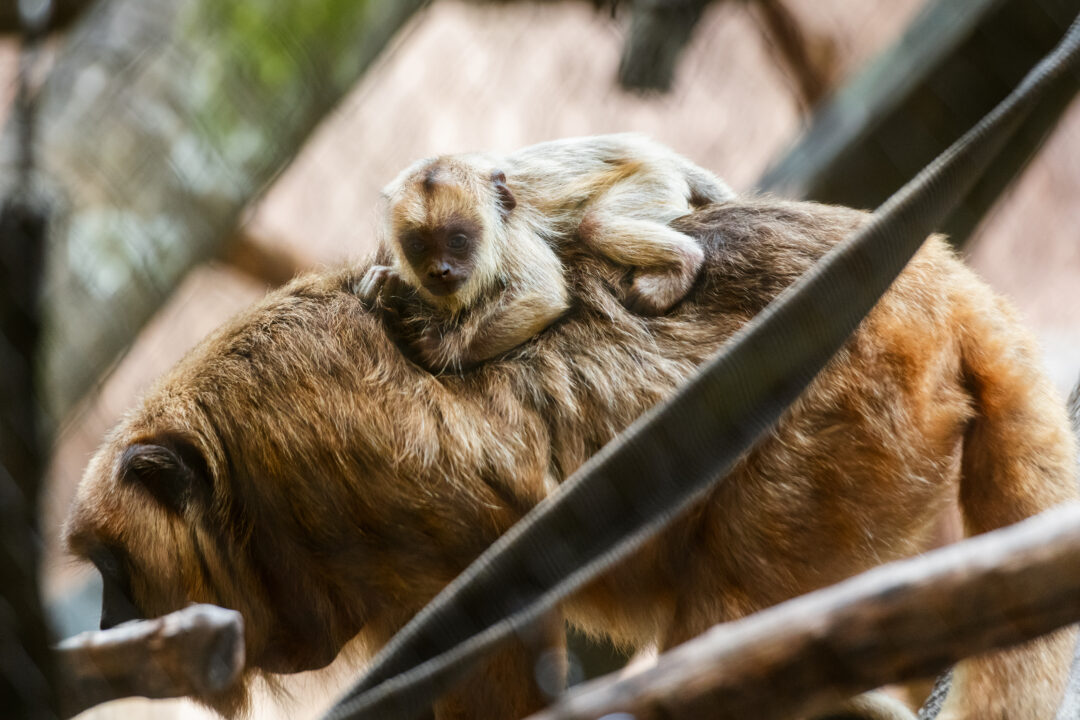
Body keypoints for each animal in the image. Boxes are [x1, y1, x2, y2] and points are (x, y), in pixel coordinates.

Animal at [63, 199, 1078, 719]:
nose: (108, 621)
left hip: (845, 418)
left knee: (733, 602)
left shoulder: (309, 434)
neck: (238, 479)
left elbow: (495, 602)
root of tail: (938, 281)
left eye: (116, 571)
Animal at [358, 134, 734, 371]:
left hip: (653, 181)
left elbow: (542, 295)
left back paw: (684, 262)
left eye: (457, 241)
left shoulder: (511, 234)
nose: (440, 270)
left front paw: (444, 350)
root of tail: (655, 152)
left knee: (595, 224)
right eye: (418, 246)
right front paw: (387, 281)